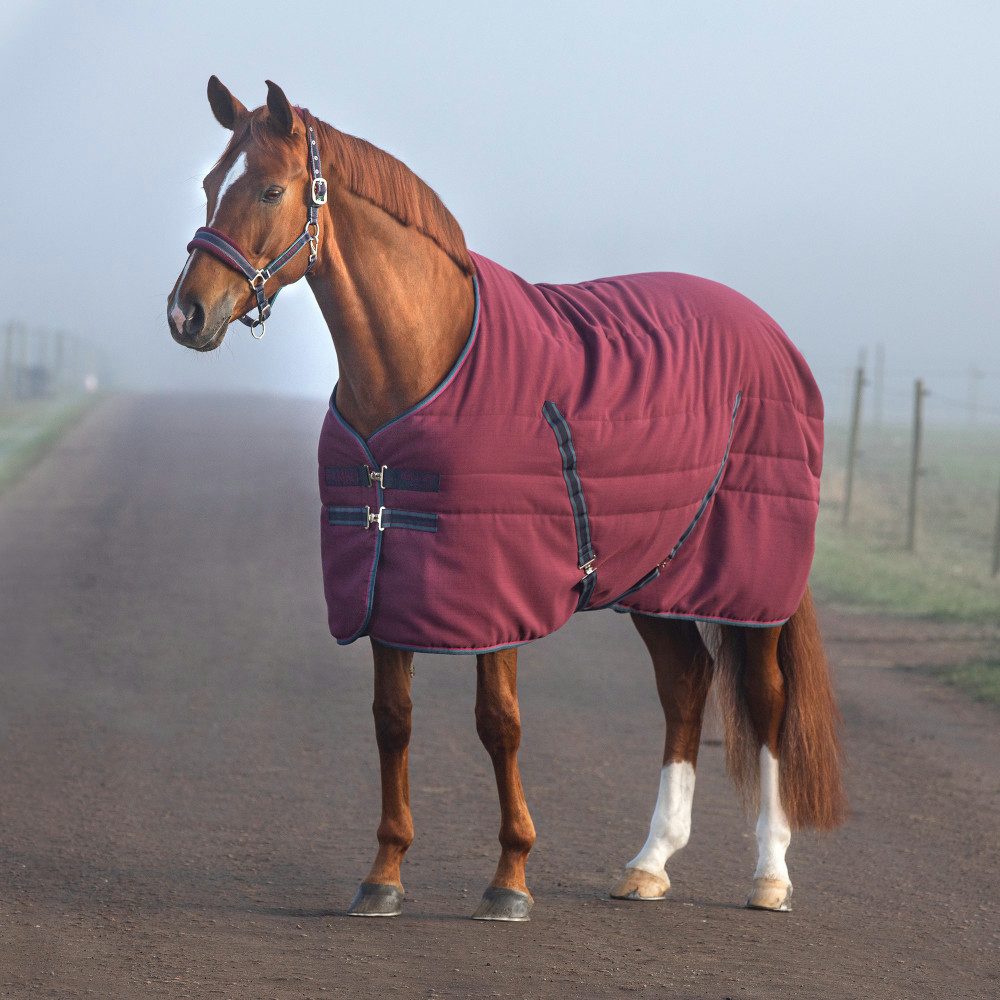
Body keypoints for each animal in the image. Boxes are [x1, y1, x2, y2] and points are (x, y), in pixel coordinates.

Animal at [167, 77, 845, 922]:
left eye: (268, 189)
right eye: (207, 185)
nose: (186, 314)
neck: (423, 364)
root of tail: (771, 334)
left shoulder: (496, 591)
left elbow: (499, 725)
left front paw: (510, 879)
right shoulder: (385, 580)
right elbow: (392, 723)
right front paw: (383, 875)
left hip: (751, 584)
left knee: (766, 699)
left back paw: (770, 875)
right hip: (656, 577)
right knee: (685, 685)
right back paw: (650, 863)